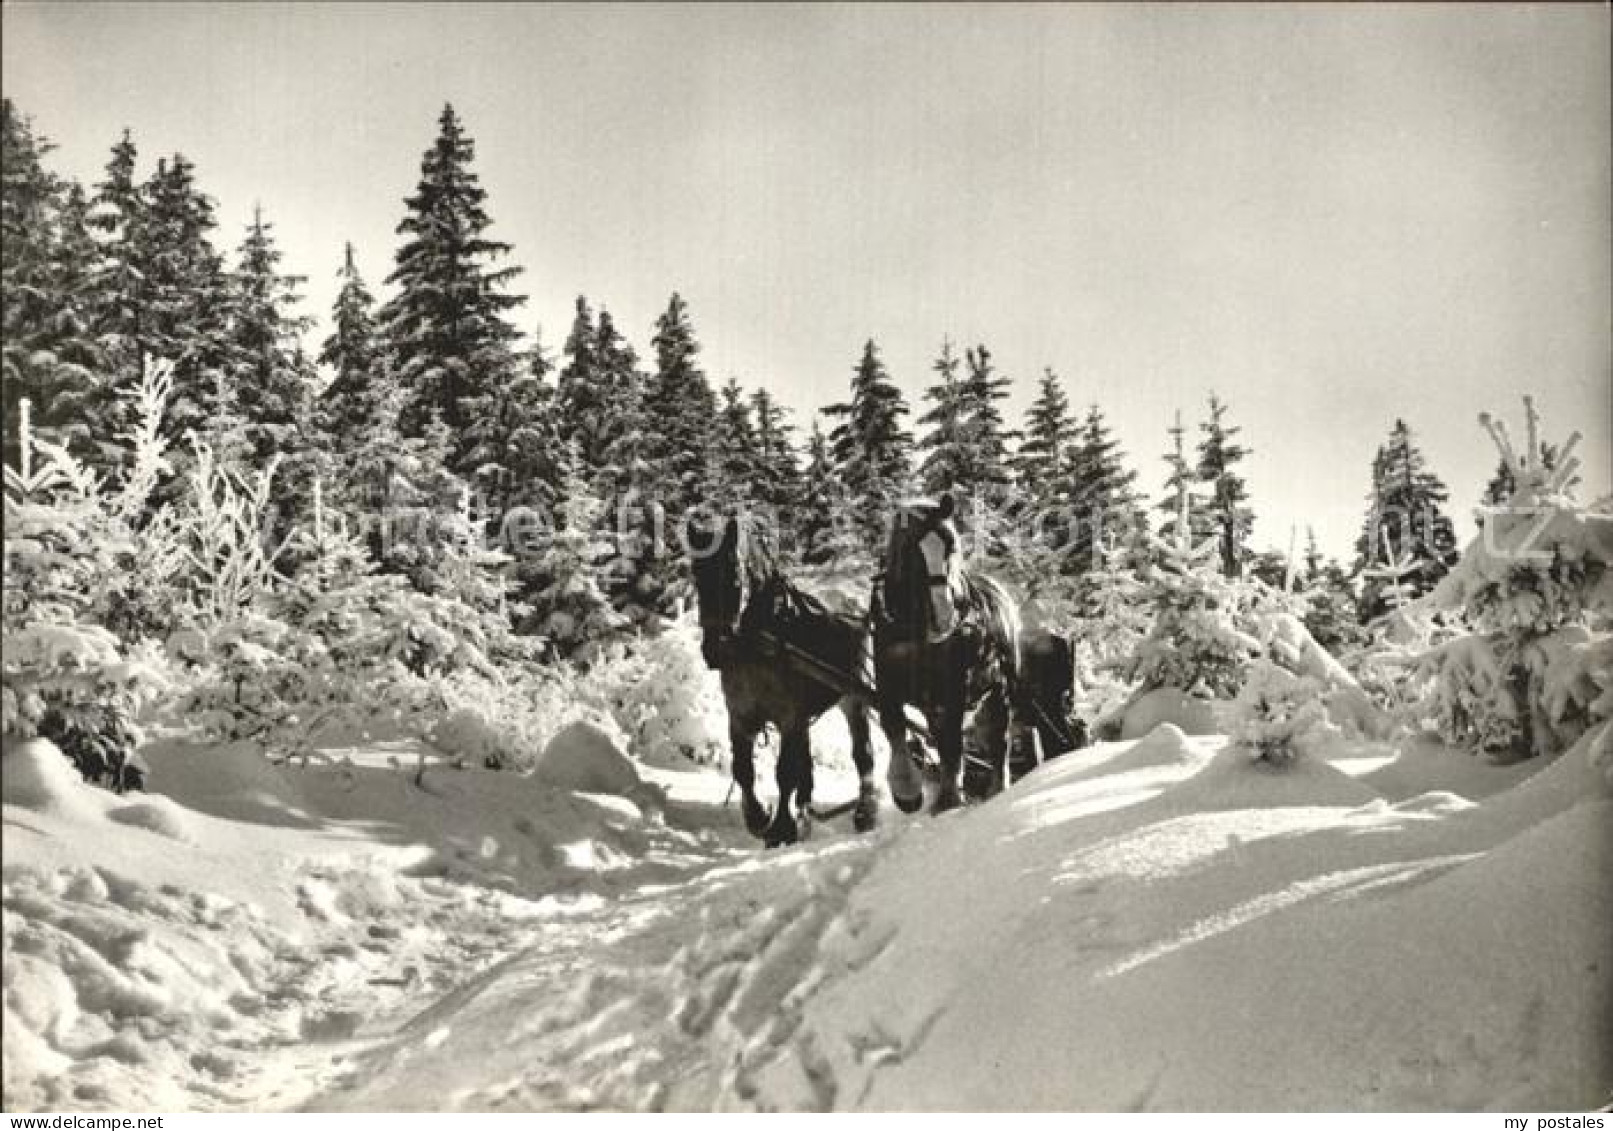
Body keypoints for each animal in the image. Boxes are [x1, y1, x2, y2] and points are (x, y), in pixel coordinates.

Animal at [687, 516, 877, 845]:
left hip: (853, 697)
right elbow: (743, 771)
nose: (715, 650)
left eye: (735, 580)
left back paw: (864, 813)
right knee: (807, 763)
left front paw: (781, 828)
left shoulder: (789, 717)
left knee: (862, 752)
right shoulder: (740, 716)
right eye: (698, 578)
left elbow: (785, 773)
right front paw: (758, 817)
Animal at [877, 493, 1025, 813]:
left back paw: (998, 789)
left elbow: (955, 744)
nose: (945, 616)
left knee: (999, 740)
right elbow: (894, 729)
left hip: (1000, 689)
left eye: (950, 547)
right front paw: (906, 791)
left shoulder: (955, 686)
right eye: (910, 549)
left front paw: (949, 800)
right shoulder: (888, 684)